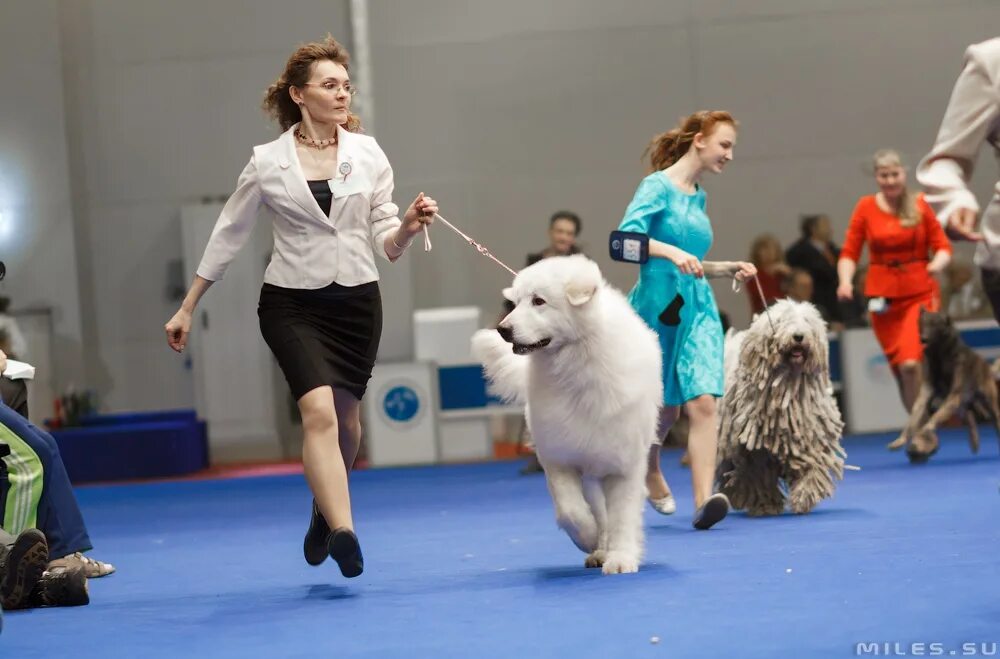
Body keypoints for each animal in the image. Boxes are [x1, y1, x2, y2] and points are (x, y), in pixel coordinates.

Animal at [716, 302, 848, 520]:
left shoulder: (809, 433)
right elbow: (759, 475)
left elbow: (814, 463)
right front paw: (765, 505)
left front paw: (804, 495)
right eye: (782, 321)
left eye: (807, 321)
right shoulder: (755, 451)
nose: (798, 336)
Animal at [892, 310, 1000, 464]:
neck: (940, 356)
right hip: (959, 404)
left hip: (986, 401)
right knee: (969, 416)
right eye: (922, 324)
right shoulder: (927, 393)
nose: (923, 339)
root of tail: (986, 365)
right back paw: (974, 441)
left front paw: (925, 430)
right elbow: (914, 417)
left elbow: (934, 418)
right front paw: (902, 438)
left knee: (992, 418)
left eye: (934, 325)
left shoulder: (954, 394)